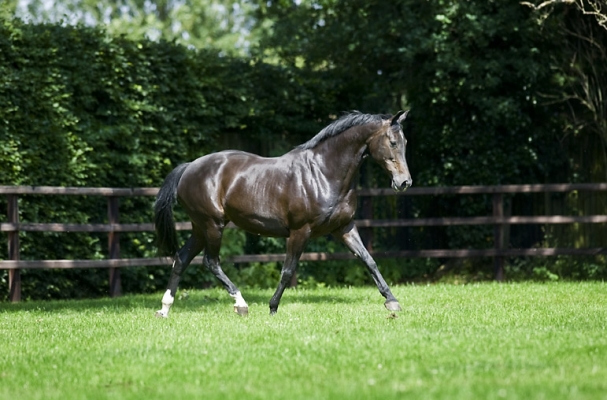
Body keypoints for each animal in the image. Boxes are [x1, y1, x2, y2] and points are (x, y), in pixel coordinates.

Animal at [156, 111, 414, 318]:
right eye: (392, 142)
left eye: (405, 142)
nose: (404, 182)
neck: (324, 173)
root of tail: (188, 168)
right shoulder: (300, 231)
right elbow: (288, 270)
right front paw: (272, 307)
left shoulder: (345, 227)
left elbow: (368, 260)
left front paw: (392, 301)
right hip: (213, 225)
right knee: (211, 262)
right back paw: (241, 304)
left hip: (200, 227)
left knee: (181, 258)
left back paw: (164, 309)